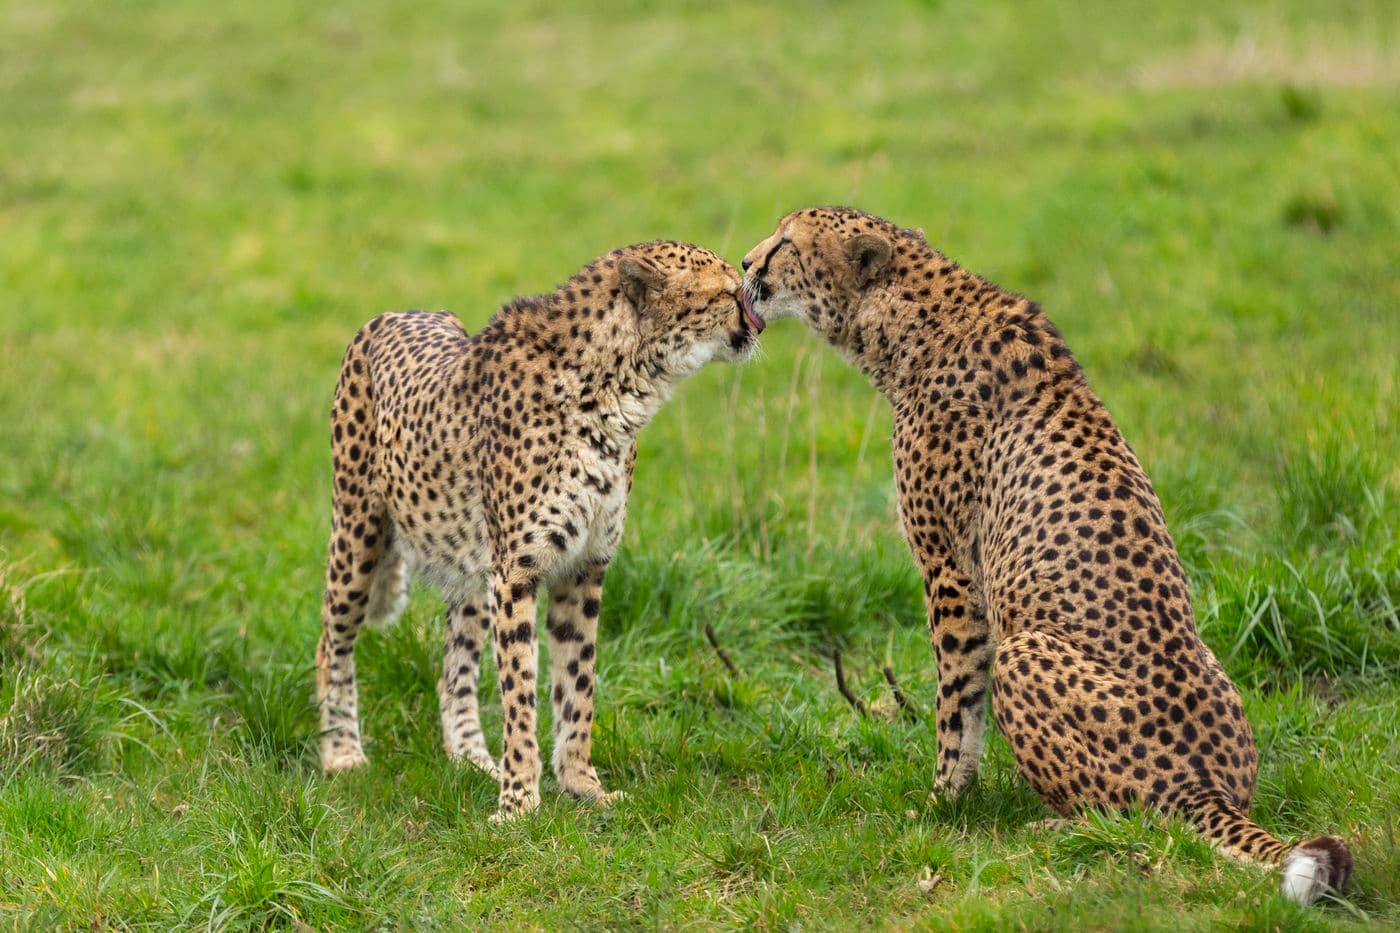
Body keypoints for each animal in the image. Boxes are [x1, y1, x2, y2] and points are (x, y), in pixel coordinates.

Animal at [315, 241, 764, 821]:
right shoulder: (517, 572)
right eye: (727, 292)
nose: (757, 322)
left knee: (453, 670)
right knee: (332, 642)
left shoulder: (583, 568)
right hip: (358, 535)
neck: (616, 387)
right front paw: (518, 804)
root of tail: (397, 311)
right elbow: (520, 691)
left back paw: (470, 758)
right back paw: (342, 753)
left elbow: (578, 685)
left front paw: (581, 785)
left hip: (472, 569)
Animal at [740, 206, 1352, 904]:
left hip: (1025, 650)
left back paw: (1056, 828)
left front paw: (941, 803)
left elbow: (956, 707)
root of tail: (1208, 788)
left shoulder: (950, 571)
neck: (911, 318)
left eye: (786, 242)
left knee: (1133, 818)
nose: (745, 263)